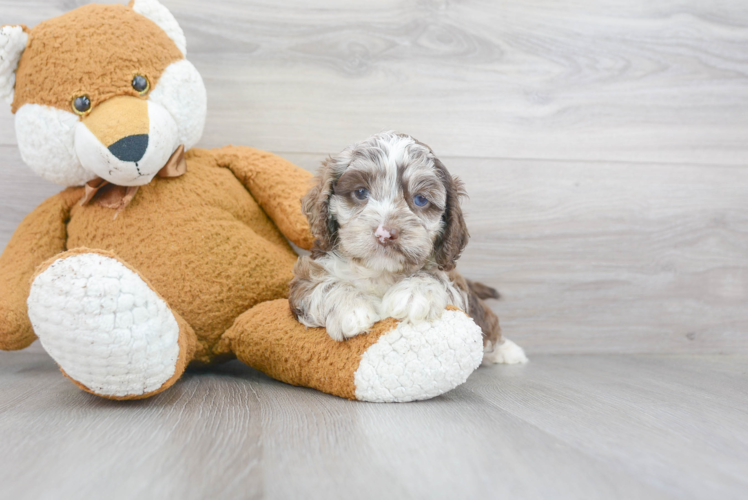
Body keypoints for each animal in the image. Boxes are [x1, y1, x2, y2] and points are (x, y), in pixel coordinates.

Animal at [286, 131, 524, 366]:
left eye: (420, 199)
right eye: (361, 192)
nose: (384, 233)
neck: (381, 271)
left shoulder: (455, 282)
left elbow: (435, 277)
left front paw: (414, 294)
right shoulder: (305, 276)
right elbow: (322, 283)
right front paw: (351, 309)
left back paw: (507, 351)